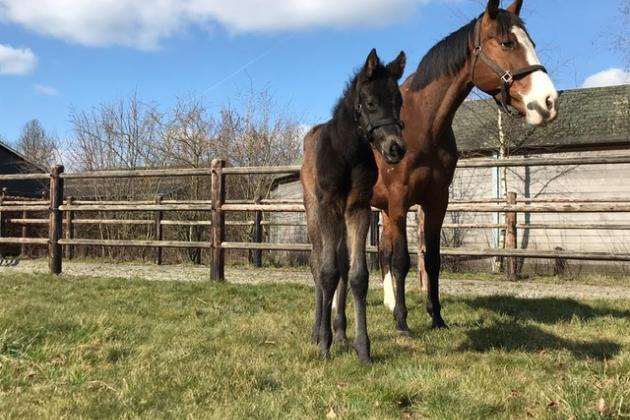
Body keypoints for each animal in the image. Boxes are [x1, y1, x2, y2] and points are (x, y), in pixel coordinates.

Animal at [302, 49, 410, 360]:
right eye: (371, 103)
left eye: (399, 103)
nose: (396, 148)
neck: (346, 154)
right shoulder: (328, 208)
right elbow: (326, 273)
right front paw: (323, 345)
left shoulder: (358, 209)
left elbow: (357, 276)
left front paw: (363, 348)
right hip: (313, 213)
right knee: (318, 264)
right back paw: (318, 331)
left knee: (340, 263)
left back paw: (340, 332)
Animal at [372, 0, 560, 334]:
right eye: (507, 43)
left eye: (532, 44)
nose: (548, 102)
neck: (421, 125)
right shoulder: (399, 200)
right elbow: (402, 260)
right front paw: (403, 323)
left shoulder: (436, 201)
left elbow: (432, 260)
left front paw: (436, 318)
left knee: (381, 252)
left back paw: (389, 303)